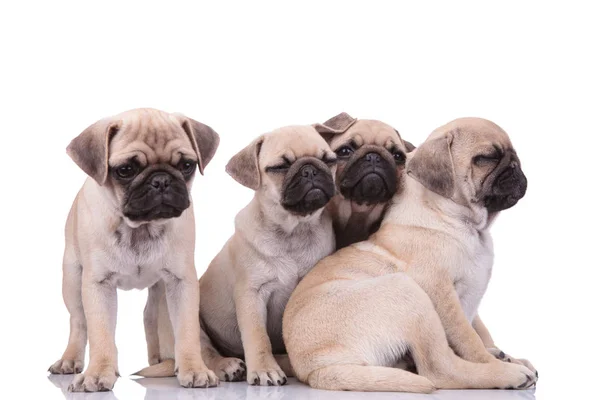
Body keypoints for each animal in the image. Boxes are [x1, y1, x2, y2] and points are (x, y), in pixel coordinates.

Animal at [47, 108, 220, 390]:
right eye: (126, 170)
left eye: (187, 166)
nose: (161, 180)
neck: (140, 228)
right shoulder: (98, 284)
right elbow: (100, 333)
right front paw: (98, 372)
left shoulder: (181, 282)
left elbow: (186, 331)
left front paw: (194, 369)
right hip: (72, 278)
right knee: (79, 321)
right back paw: (70, 360)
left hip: (159, 294)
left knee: (152, 320)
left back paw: (160, 362)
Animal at [135, 126, 338, 386]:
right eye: (280, 167)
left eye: (329, 160)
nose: (310, 169)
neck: (293, 230)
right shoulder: (251, 295)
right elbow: (258, 338)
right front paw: (264, 370)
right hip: (190, 322)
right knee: (206, 352)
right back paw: (229, 366)